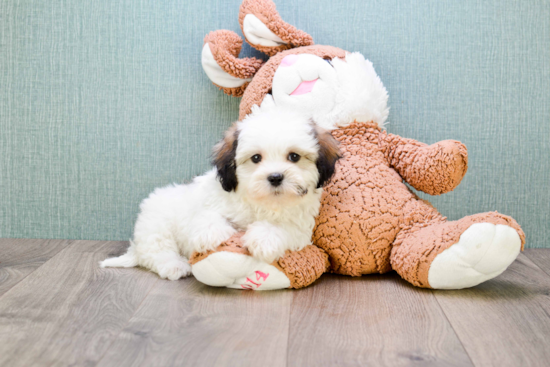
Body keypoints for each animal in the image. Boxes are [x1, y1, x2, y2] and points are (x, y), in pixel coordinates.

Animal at [100, 109, 340, 282]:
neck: (262, 203)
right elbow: (206, 216)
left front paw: (264, 238)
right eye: (256, 158)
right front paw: (212, 233)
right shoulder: (210, 201)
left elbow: (283, 228)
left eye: (294, 156)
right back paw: (174, 265)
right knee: (156, 251)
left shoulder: (301, 228)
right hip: (156, 224)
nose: (275, 177)